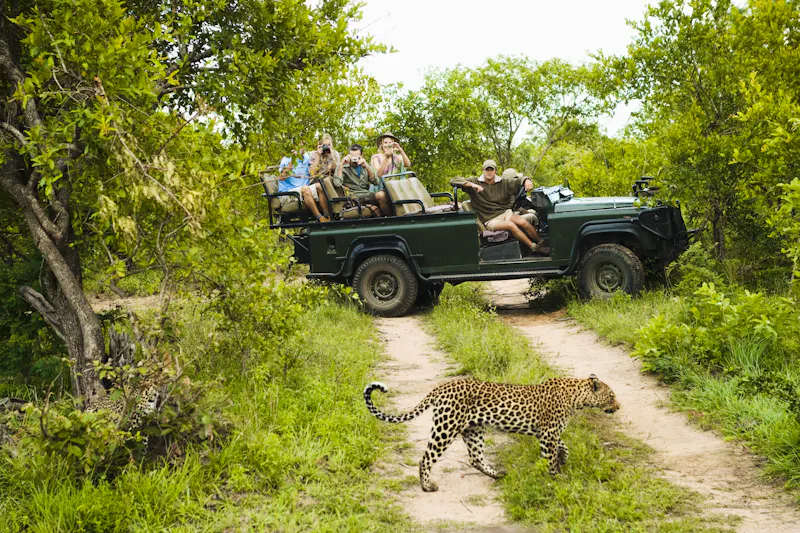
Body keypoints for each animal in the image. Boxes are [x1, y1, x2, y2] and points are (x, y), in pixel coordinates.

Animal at [364, 374, 620, 492]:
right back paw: (427, 486)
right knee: (426, 458)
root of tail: (441, 387)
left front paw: (563, 459)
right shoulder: (548, 434)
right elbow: (550, 457)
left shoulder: (547, 433)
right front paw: (555, 478)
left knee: (475, 458)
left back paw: (497, 474)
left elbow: (563, 445)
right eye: (612, 396)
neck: (577, 397)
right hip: (446, 427)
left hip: (473, 429)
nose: (618, 407)